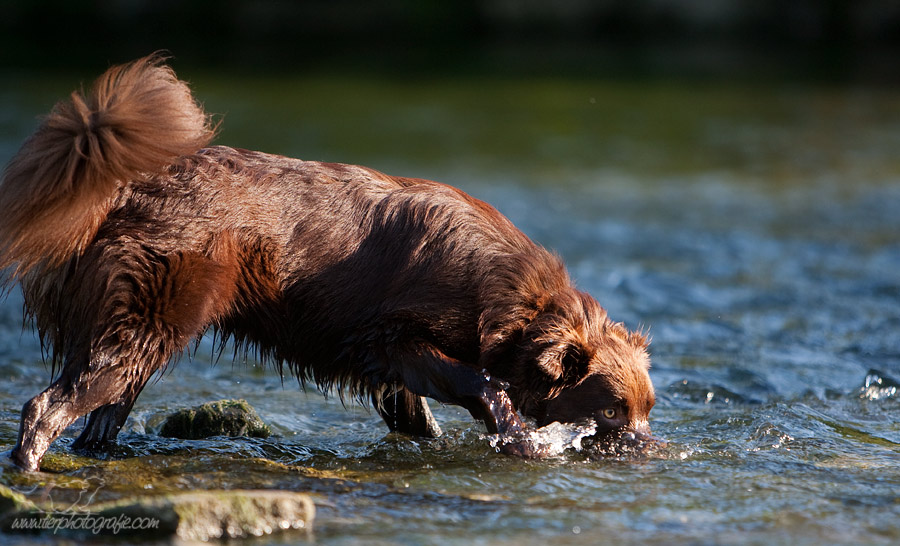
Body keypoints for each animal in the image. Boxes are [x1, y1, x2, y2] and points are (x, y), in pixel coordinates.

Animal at [3, 56, 656, 472]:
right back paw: (31, 469)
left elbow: (419, 419)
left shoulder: (394, 374)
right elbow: (477, 383)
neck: (514, 307)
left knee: (98, 416)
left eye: (648, 409)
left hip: (136, 342)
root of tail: (125, 188)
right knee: (46, 407)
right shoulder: (392, 340)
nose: (654, 450)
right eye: (611, 411)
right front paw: (521, 438)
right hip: (150, 318)